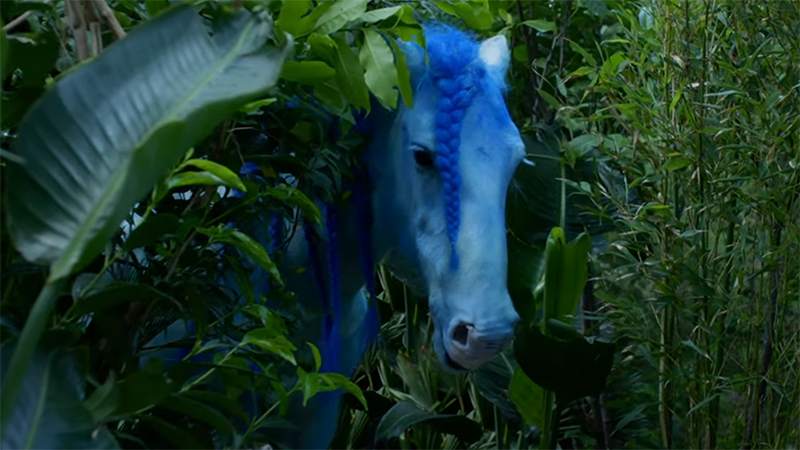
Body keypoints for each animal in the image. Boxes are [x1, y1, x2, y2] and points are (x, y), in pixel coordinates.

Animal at [138, 22, 526, 449]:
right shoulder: (219, 423)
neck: (300, 293)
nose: (485, 335)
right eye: (422, 156)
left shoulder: (314, 421)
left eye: (515, 161)